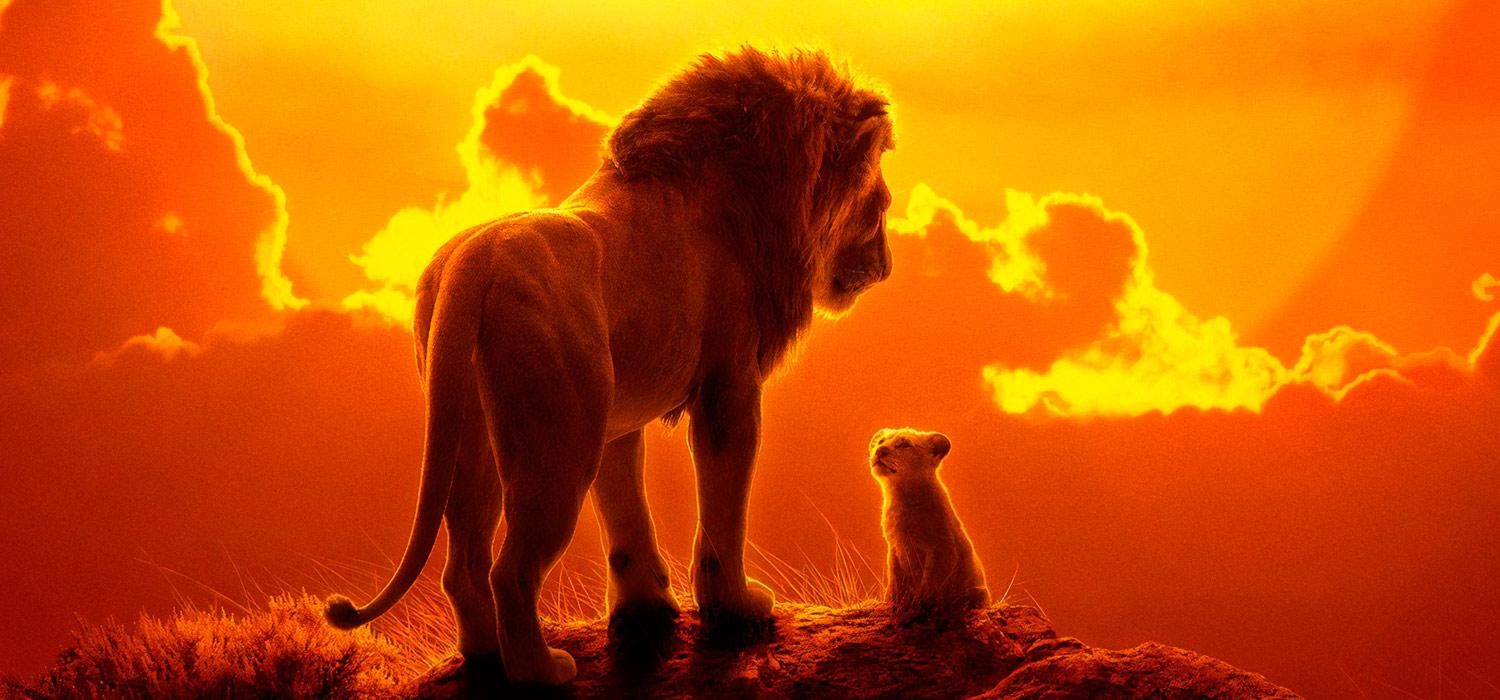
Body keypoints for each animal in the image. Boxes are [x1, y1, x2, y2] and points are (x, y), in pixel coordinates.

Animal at [324, 47, 896, 685]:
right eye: (880, 207)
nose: (887, 266)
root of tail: (473, 264)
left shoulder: (616, 418)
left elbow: (625, 515)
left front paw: (646, 607)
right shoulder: (729, 388)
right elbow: (722, 511)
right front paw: (737, 608)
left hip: (474, 435)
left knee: (465, 564)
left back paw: (485, 657)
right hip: (557, 446)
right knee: (510, 571)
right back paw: (542, 671)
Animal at [869, 428, 990, 616]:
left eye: (904, 444)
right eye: (881, 441)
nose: (880, 450)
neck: (900, 496)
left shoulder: (941, 548)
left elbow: (930, 582)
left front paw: (918, 607)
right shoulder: (894, 547)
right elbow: (895, 580)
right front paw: (891, 603)